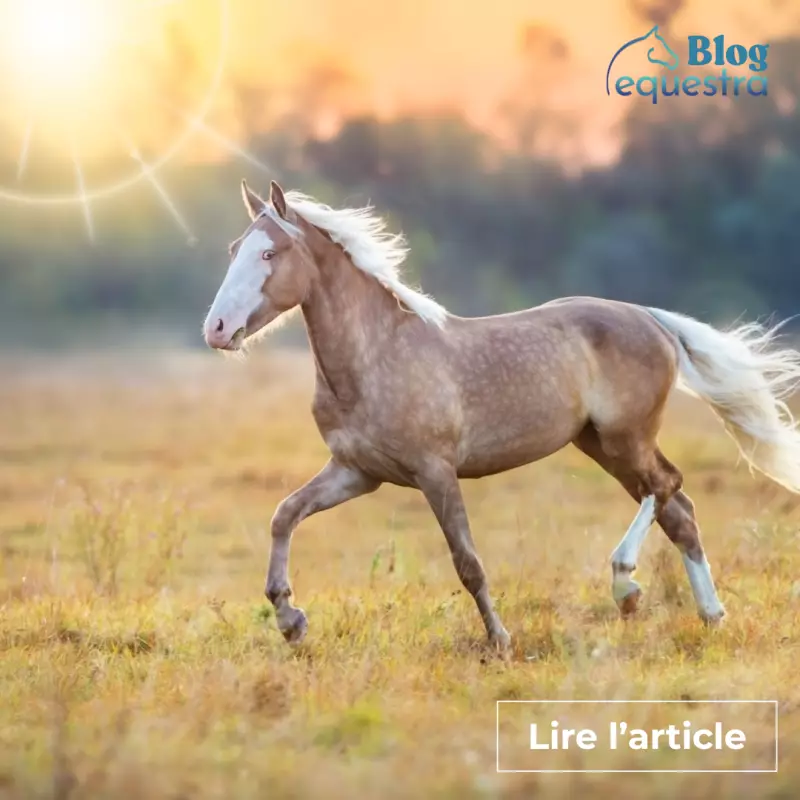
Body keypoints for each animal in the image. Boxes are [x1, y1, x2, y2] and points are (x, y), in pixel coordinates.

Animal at [203, 179, 800, 652]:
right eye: (233, 248)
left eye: (270, 253)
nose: (217, 328)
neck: (375, 356)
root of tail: (651, 318)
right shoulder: (358, 473)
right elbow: (284, 514)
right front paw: (290, 620)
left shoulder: (435, 472)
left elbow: (467, 561)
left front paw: (500, 641)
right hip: (599, 445)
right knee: (680, 510)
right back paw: (710, 615)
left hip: (624, 438)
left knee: (667, 485)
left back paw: (626, 587)